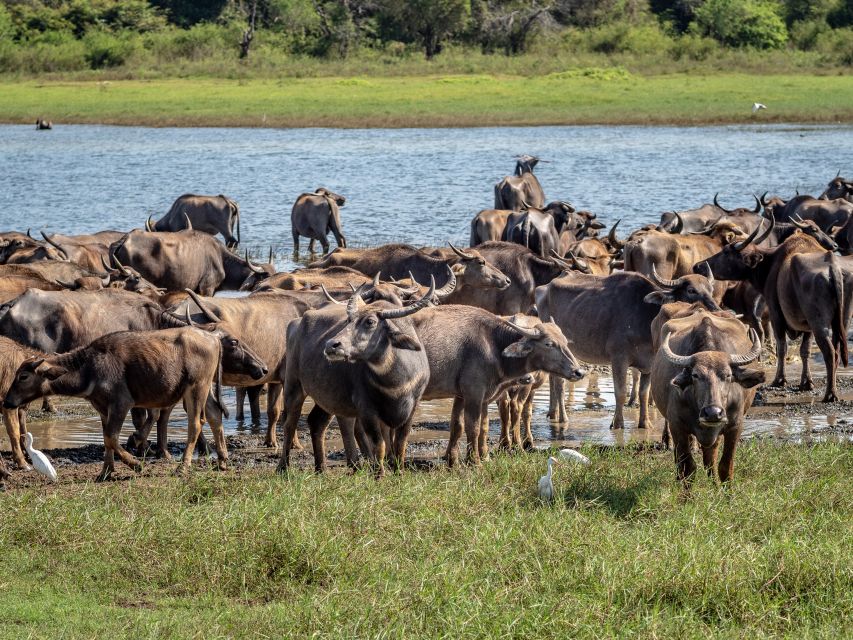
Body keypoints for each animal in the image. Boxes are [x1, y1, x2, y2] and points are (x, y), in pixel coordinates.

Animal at [2, 324, 266, 480]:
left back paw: (183, 466)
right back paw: (222, 461)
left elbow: (112, 437)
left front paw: (136, 464)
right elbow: (106, 439)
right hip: (205, 388)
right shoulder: (102, 408)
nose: (7, 402)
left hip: (196, 388)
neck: (90, 366)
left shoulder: (121, 404)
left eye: (23, 376)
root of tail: (213, 337)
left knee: (196, 423)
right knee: (214, 416)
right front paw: (105, 471)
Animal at [540, 268, 720, 428]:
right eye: (691, 290)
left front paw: (645, 423)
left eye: (711, 289)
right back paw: (562, 418)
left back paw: (552, 412)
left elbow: (644, 394)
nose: (716, 309)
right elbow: (620, 392)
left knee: (552, 378)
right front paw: (617, 423)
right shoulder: (619, 359)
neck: (646, 316)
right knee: (559, 383)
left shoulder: (649, 364)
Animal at [696, 219, 848, 400]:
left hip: (819, 324)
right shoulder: (806, 327)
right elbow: (805, 350)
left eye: (726, 252)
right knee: (836, 352)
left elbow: (781, 347)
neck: (769, 264)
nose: (698, 266)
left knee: (830, 353)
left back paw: (830, 393)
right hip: (833, 323)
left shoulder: (777, 315)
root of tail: (832, 270)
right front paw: (806, 382)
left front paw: (779, 380)